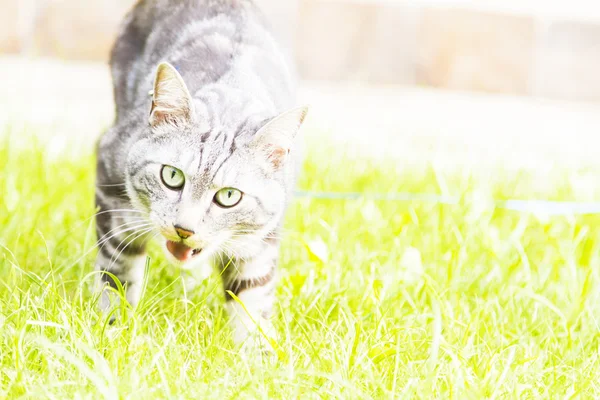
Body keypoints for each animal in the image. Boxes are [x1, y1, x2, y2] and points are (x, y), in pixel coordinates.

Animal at [95, 0, 310, 346]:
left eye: (229, 196)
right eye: (172, 177)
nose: (184, 229)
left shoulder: (262, 236)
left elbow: (253, 294)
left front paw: (256, 353)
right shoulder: (112, 183)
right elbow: (118, 270)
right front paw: (112, 327)